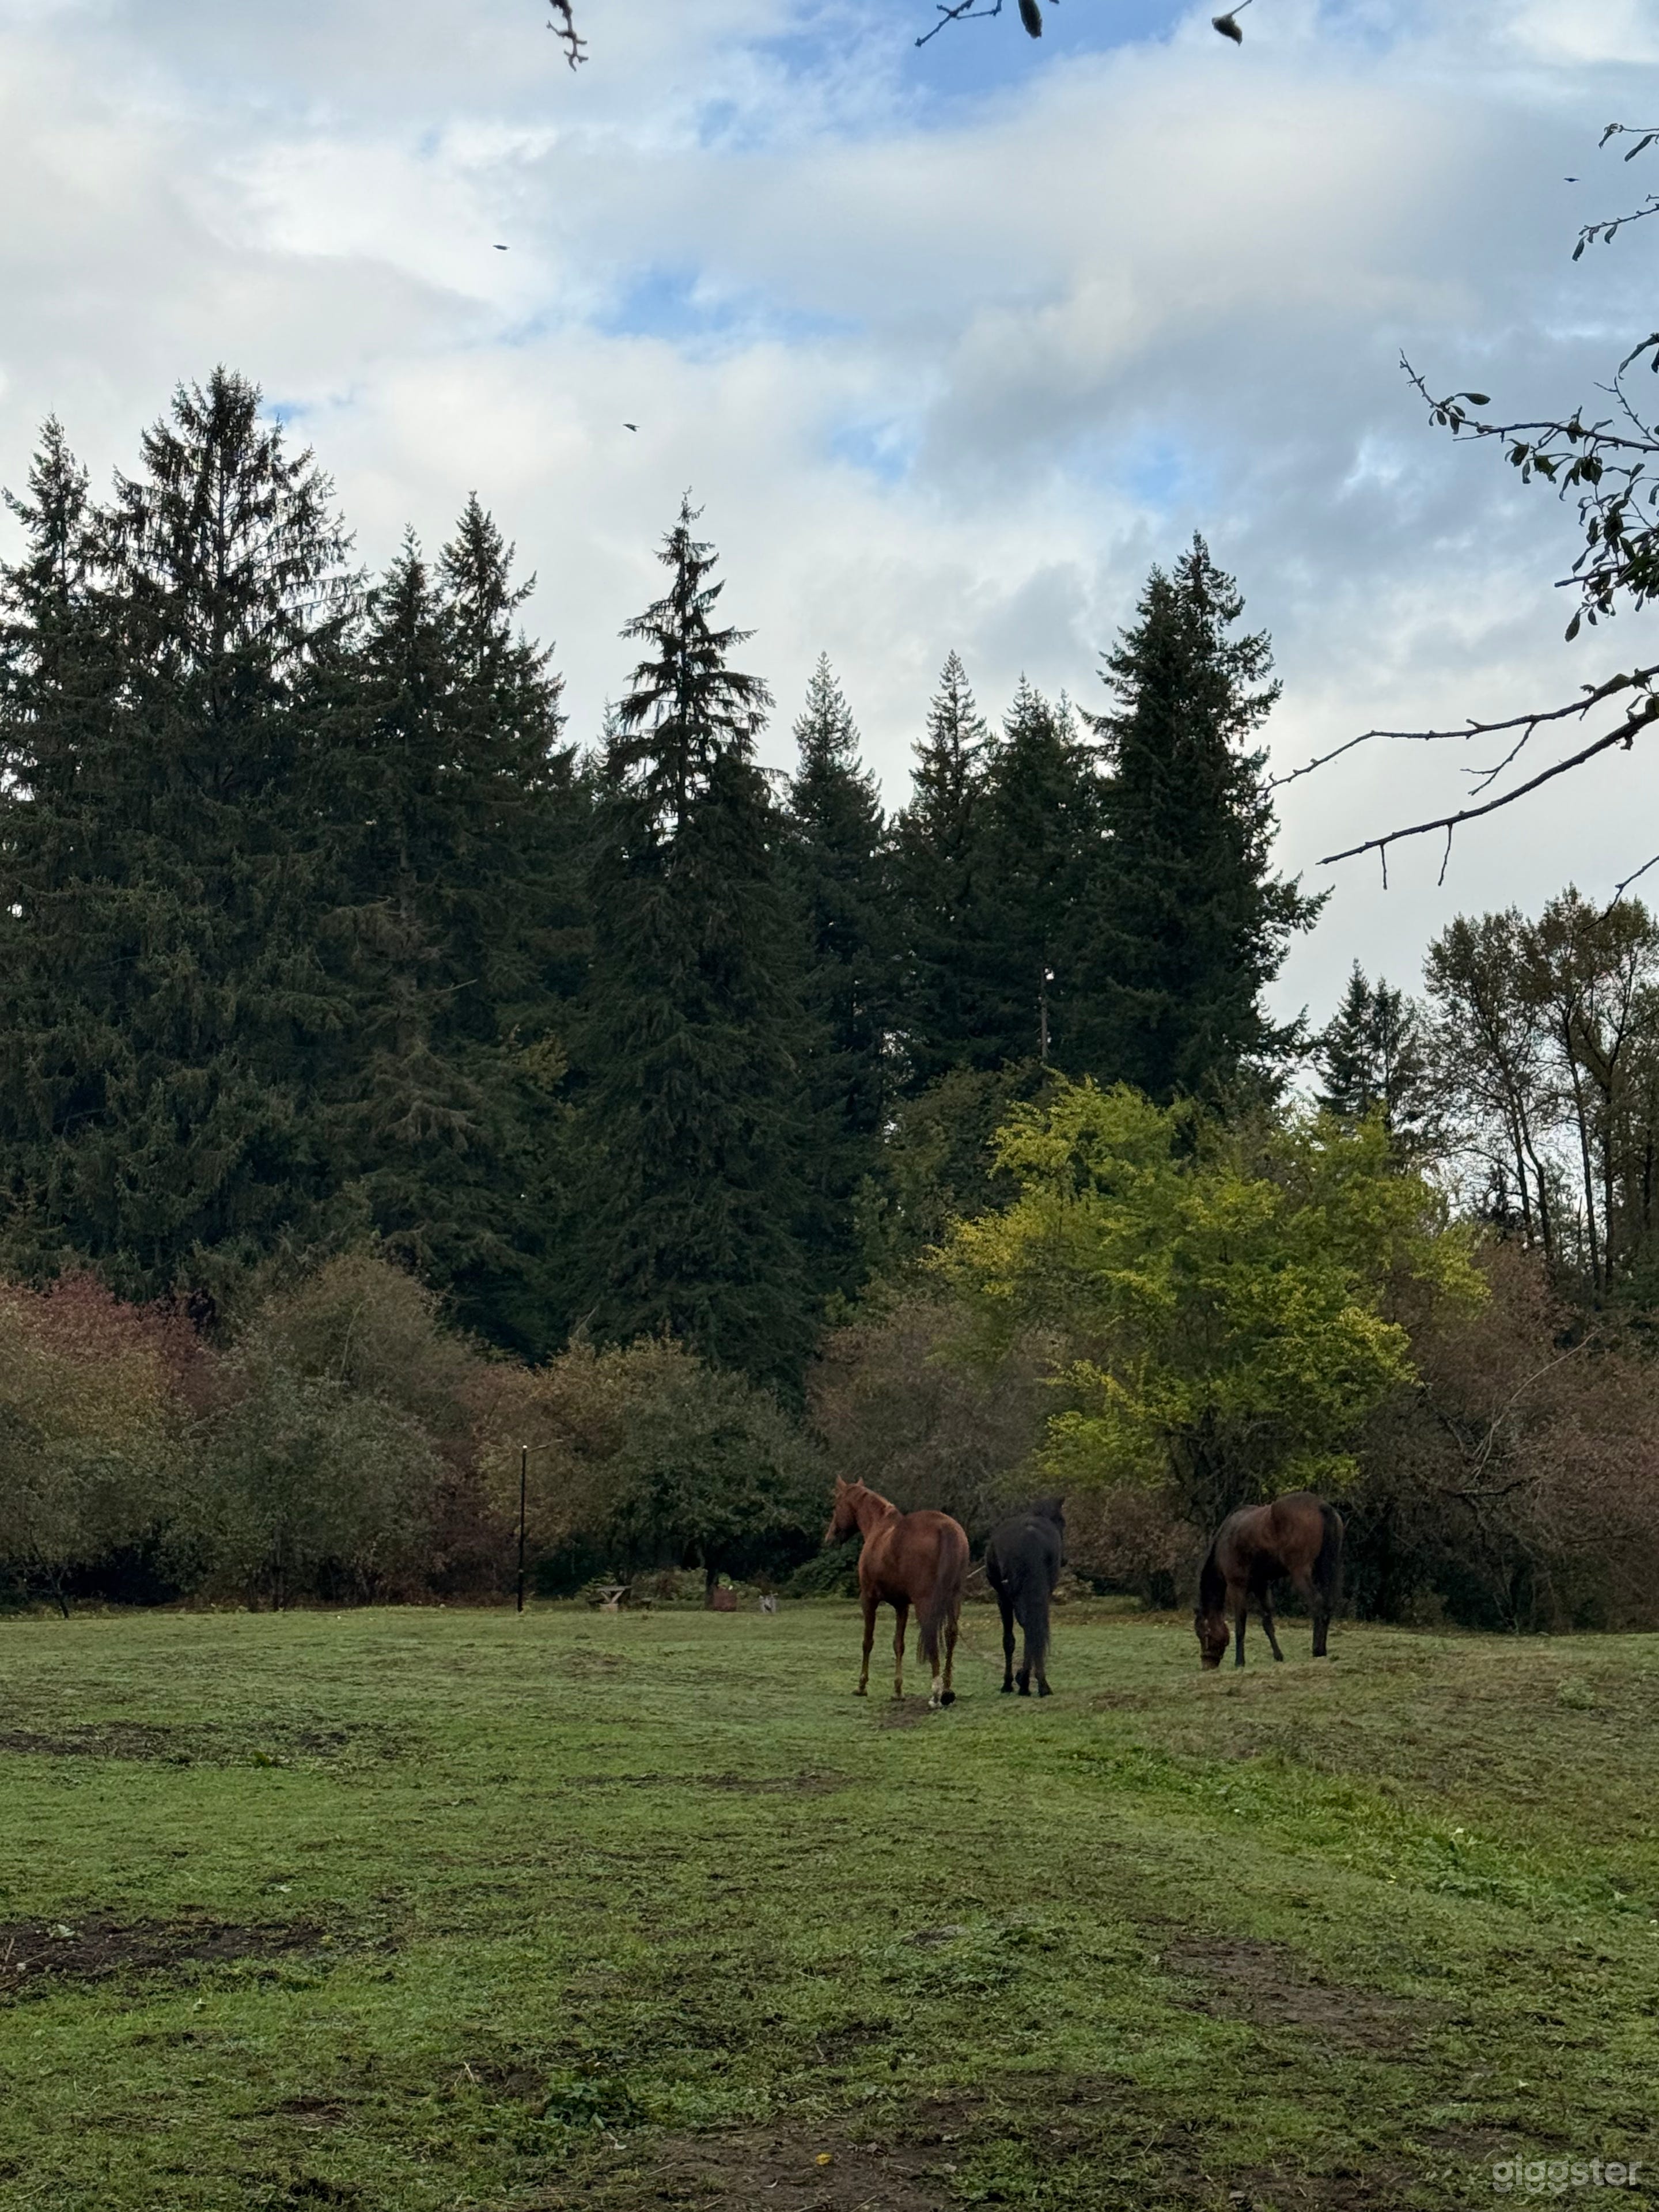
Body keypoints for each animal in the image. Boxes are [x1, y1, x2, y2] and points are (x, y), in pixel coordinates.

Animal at [825, 1478, 969, 1709]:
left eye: (836, 1506)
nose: (830, 1538)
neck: (880, 1528)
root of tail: (946, 1527)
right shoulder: (902, 1605)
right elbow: (898, 1645)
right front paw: (898, 1691)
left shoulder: (869, 1599)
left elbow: (868, 1641)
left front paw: (861, 1686)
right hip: (954, 1599)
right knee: (951, 1634)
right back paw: (947, 1690)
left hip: (925, 1602)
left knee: (931, 1635)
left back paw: (936, 1693)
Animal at [984, 1497, 1065, 1697]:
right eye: (1062, 1521)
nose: (1065, 1560)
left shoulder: (1003, 1599)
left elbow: (1009, 1641)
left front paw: (1009, 1683)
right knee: (1033, 1629)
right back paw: (1039, 1684)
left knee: (1028, 1628)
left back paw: (1026, 1683)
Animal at [1194, 1492, 1343, 1669]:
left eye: (1203, 1633)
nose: (1207, 1665)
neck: (1224, 1540)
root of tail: (1322, 1506)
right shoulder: (1261, 1586)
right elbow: (1267, 1622)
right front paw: (1278, 1656)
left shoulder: (1237, 1586)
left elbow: (1240, 1623)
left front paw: (1239, 1661)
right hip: (1329, 1569)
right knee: (1328, 1605)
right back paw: (1324, 1650)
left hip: (1301, 1571)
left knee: (1317, 1604)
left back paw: (1317, 1649)